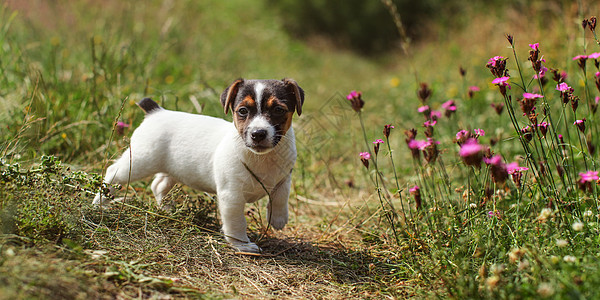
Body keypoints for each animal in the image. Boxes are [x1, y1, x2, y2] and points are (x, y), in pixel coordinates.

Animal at [93, 78, 304, 253]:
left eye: (278, 110)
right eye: (243, 111)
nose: (258, 134)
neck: (263, 158)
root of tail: (156, 112)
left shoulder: (284, 176)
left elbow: (281, 195)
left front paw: (278, 219)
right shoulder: (231, 196)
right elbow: (237, 222)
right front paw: (242, 245)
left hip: (173, 169)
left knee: (158, 185)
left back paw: (167, 209)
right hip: (139, 161)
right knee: (113, 173)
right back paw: (99, 203)